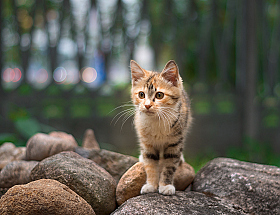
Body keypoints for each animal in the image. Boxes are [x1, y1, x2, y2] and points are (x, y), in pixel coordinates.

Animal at [130, 59, 191, 196]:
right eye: (141, 94)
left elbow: (169, 165)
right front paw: (151, 185)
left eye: (159, 95)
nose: (147, 105)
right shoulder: (147, 143)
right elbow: (150, 164)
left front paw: (166, 185)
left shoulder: (175, 143)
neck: (157, 120)